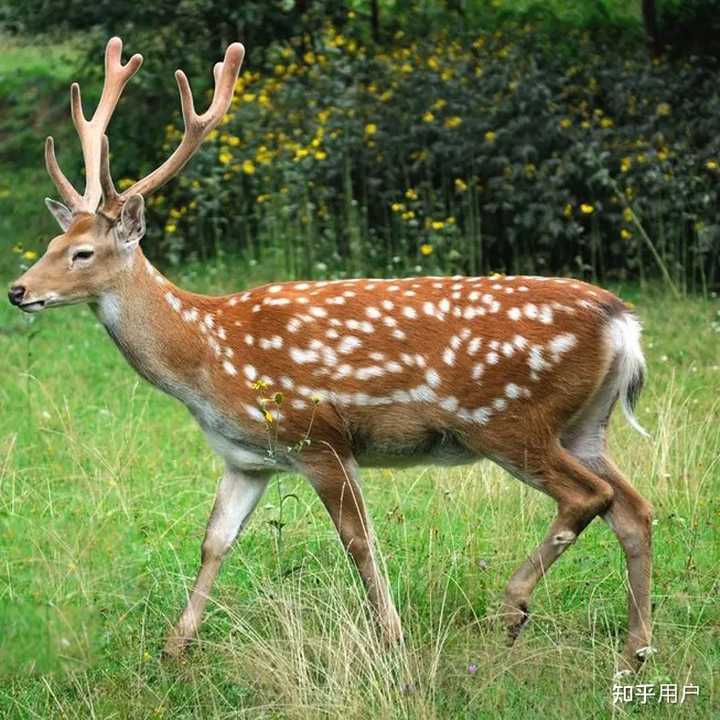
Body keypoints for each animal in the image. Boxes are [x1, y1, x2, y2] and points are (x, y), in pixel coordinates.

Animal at [8, 37, 654, 672]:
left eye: (83, 253)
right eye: (52, 242)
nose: (17, 289)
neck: (209, 359)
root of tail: (623, 323)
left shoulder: (319, 437)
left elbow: (359, 542)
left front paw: (392, 641)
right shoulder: (248, 458)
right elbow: (214, 541)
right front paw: (174, 649)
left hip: (508, 419)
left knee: (588, 497)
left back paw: (515, 606)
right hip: (582, 425)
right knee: (635, 510)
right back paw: (635, 652)